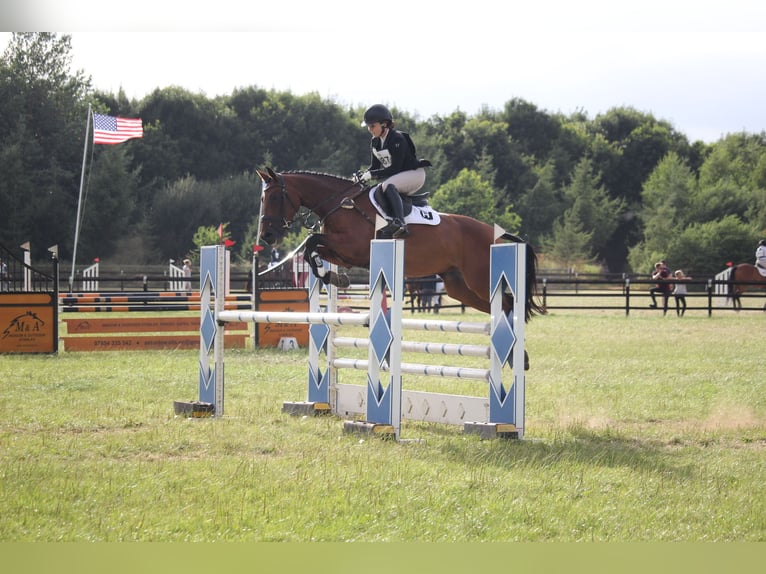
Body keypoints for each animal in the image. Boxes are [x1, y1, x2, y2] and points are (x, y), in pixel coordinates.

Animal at [258, 169, 544, 326]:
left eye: (274, 197)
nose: (266, 236)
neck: (342, 204)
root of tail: (494, 234)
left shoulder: (354, 248)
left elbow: (311, 241)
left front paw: (328, 274)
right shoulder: (344, 254)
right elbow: (312, 248)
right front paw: (333, 276)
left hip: (479, 279)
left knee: (507, 302)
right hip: (459, 286)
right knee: (501, 306)